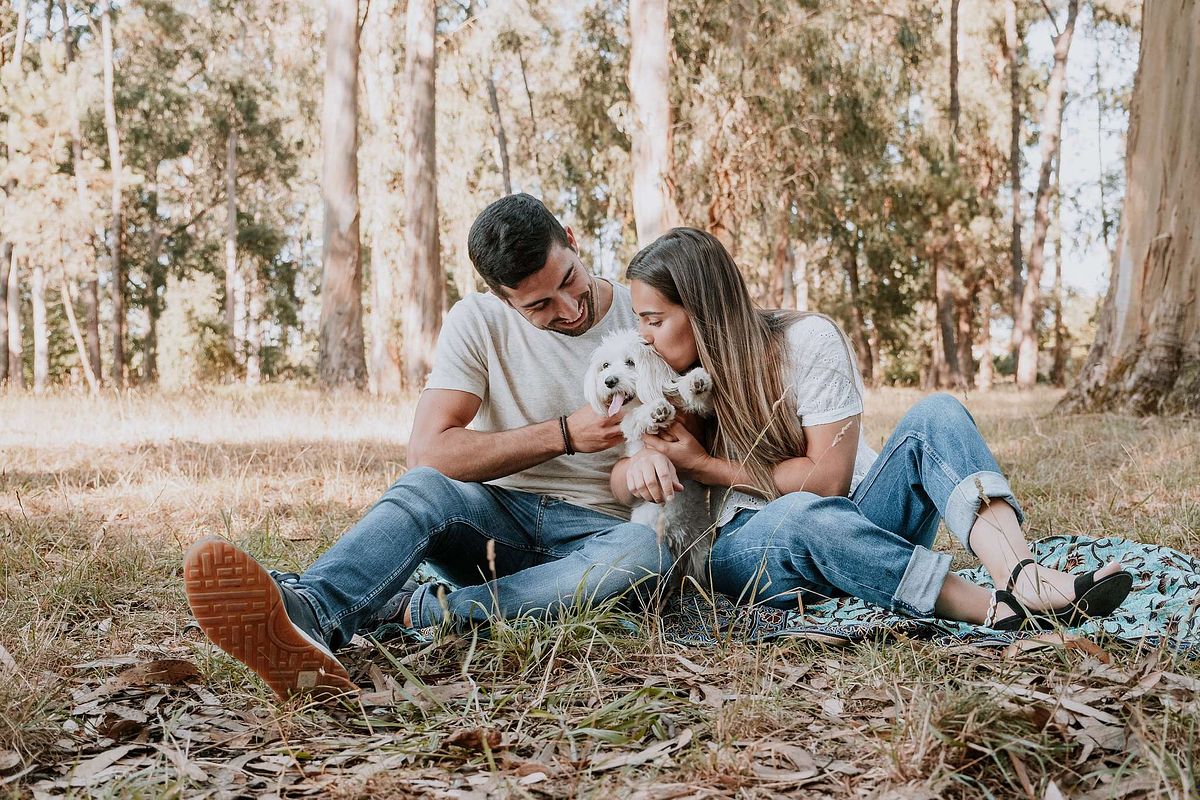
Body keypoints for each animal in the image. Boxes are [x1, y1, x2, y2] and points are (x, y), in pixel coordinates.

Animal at [585, 328, 715, 585]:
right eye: (605, 365)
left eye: (630, 362)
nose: (609, 381)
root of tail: (675, 537)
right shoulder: (628, 425)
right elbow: (635, 417)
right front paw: (656, 411)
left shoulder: (700, 425)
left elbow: (699, 404)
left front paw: (695, 382)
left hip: (699, 548)